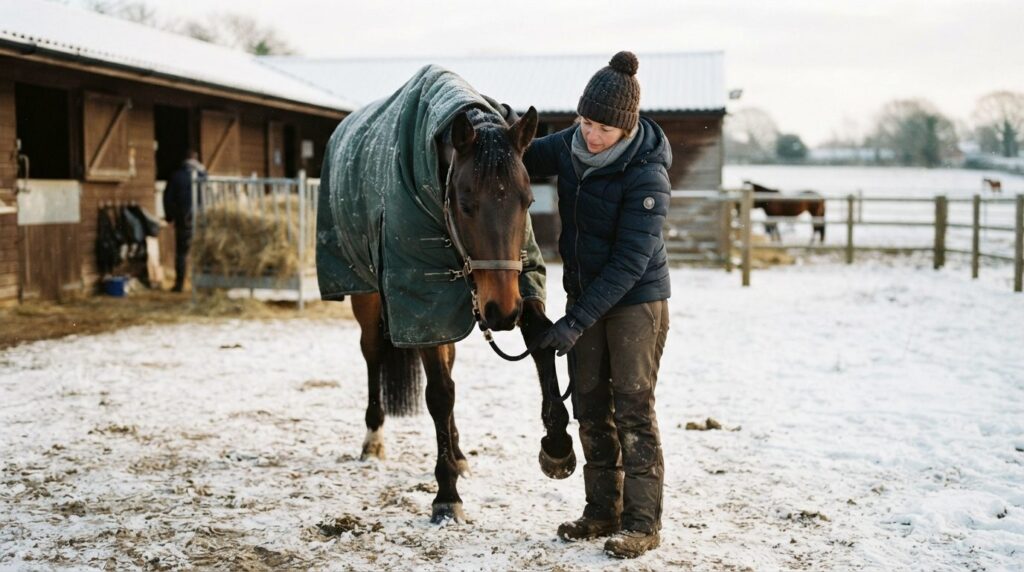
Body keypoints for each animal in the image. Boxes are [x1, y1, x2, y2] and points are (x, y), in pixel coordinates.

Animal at [319, 69, 575, 525]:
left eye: (528, 200)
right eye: (466, 202)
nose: (501, 312)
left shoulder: (521, 279)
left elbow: (542, 344)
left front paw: (558, 444)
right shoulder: (424, 303)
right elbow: (439, 394)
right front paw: (446, 495)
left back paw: (457, 452)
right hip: (369, 297)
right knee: (373, 354)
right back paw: (373, 439)